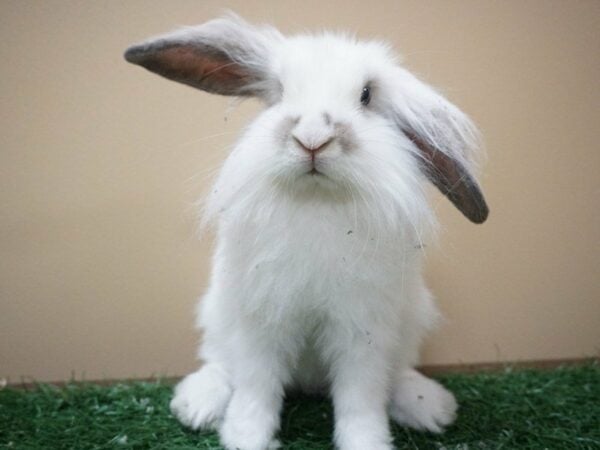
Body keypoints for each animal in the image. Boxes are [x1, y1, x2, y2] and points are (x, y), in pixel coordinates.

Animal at [125, 12, 488, 448]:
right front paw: (246, 437)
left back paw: (429, 407)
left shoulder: (363, 331)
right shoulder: (262, 321)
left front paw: (366, 442)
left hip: (411, 322)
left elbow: (361, 398)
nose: (313, 138)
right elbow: (256, 386)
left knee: (395, 375)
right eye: (280, 92)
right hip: (217, 314)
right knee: (220, 363)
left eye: (366, 95)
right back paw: (197, 405)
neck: (317, 202)